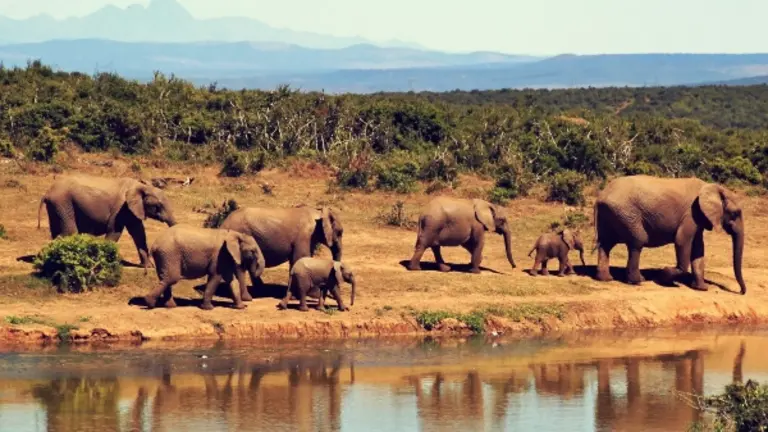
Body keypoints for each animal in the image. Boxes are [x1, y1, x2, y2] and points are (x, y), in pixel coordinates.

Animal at [37, 175, 177, 270]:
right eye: (158, 206)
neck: (141, 186)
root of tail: (47, 192)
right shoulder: (121, 208)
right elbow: (115, 231)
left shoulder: (133, 209)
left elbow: (138, 233)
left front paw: (149, 266)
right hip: (63, 202)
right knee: (69, 231)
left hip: (57, 206)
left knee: (57, 231)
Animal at [593, 175, 747, 294]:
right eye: (735, 213)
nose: (740, 292)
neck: (712, 187)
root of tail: (600, 196)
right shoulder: (691, 214)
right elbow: (682, 241)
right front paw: (664, 277)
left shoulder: (698, 218)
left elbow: (698, 249)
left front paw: (702, 288)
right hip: (626, 213)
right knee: (637, 241)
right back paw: (638, 281)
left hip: (612, 214)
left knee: (606, 243)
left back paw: (606, 279)